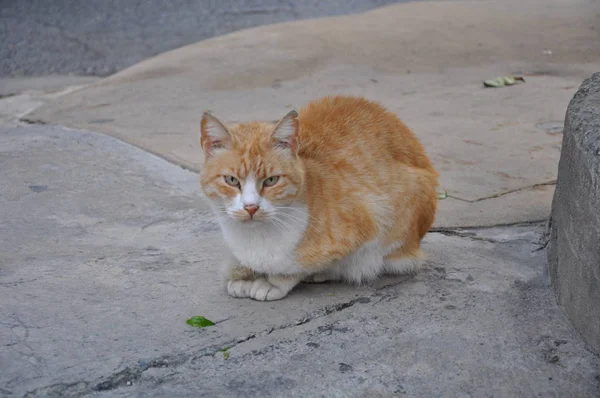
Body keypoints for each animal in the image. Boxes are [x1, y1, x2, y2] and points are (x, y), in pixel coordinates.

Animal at [199, 95, 438, 302]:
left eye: (271, 180)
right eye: (231, 180)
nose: (250, 207)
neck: (254, 238)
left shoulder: (373, 216)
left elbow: (297, 265)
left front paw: (273, 281)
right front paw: (244, 273)